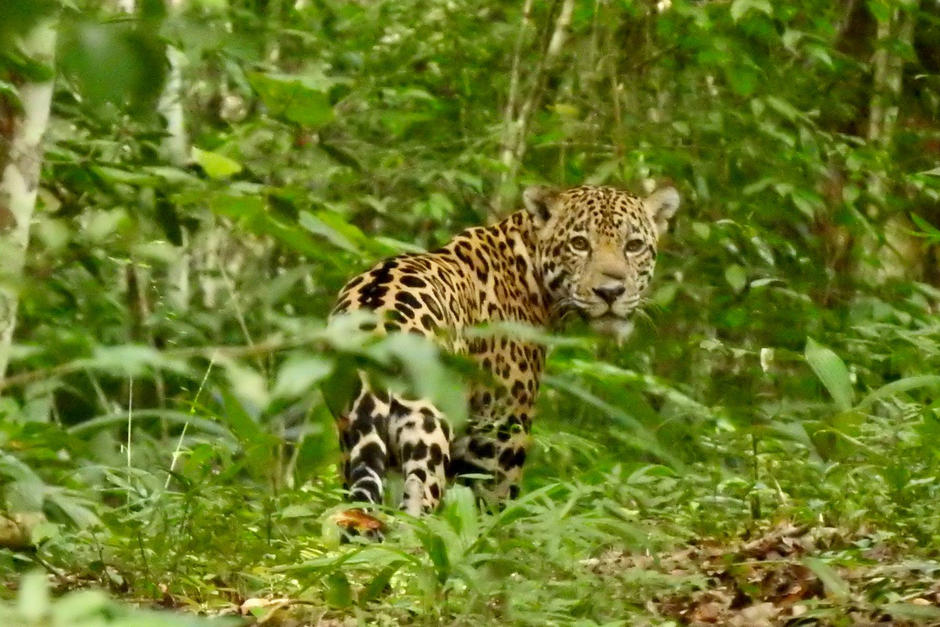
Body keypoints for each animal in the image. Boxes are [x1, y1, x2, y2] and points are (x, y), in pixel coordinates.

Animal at [330, 184, 680, 522]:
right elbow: (495, 505)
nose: (611, 292)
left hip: (356, 437)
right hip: (427, 427)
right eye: (579, 244)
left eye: (633, 245)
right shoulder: (500, 431)